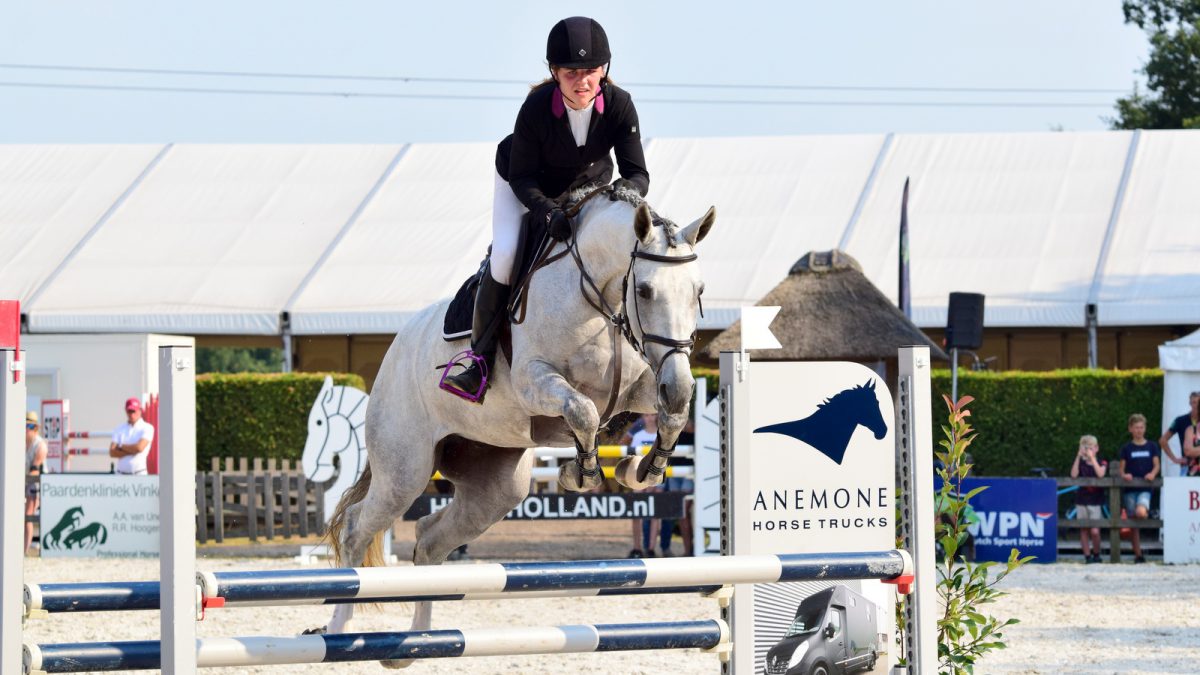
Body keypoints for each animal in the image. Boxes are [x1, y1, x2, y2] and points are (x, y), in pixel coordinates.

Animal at [321, 183, 710, 658]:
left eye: (698, 290)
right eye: (647, 290)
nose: (677, 383)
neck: (599, 299)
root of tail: (393, 351)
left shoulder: (642, 386)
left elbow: (673, 415)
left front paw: (643, 468)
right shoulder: (535, 380)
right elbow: (584, 410)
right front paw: (580, 473)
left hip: (495, 487)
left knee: (430, 539)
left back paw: (419, 643)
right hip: (403, 473)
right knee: (357, 528)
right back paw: (339, 628)